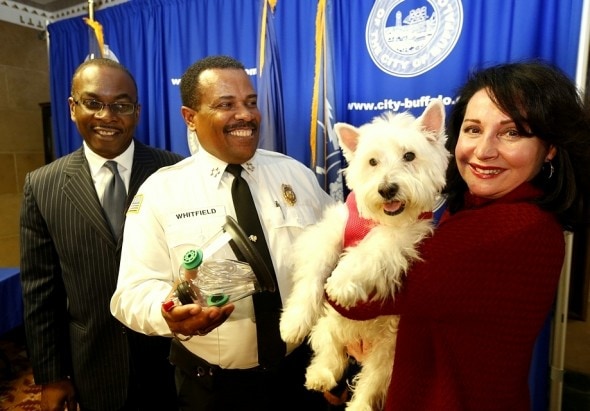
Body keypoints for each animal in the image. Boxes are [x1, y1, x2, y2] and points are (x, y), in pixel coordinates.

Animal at [280, 100, 450, 411]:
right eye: (372, 162)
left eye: (410, 155)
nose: (387, 189)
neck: (377, 219)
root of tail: (358, 337)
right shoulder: (332, 231)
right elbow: (315, 269)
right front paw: (293, 322)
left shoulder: (403, 239)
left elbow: (370, 249)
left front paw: (340, 282)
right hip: (329, 325)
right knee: (330, 352)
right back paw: (319, 376)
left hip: (388, 353)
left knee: (370, 384)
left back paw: (357, 404)